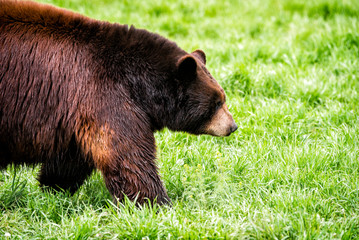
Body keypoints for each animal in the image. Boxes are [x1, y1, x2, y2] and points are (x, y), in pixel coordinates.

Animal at [0, 0, 239, 205]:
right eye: (216, 103)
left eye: (223, 98)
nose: (233, 126)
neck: (139, 83)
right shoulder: (103, 93)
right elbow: (126, 155)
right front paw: (156, 203)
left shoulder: (76, 113)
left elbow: (72, 160)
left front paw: (53, 190)